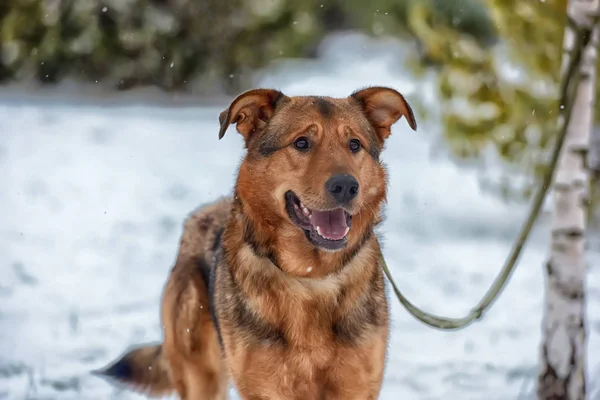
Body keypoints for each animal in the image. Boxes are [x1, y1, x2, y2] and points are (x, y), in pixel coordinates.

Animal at [97, 86, 418, 398]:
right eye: (302, 143)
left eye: (354, 145)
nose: (346, 186)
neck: (310, 277)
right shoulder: (265, 388)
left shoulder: (356, 386)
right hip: (201, 376)